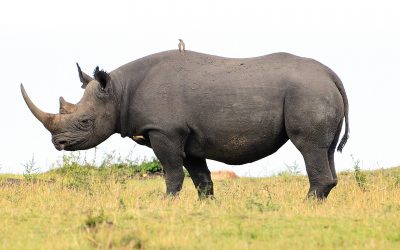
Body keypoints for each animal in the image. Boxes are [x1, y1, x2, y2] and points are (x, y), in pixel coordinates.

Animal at [20, 50, 348, 199]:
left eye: (85, 121)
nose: (58, 143)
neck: (119, 92)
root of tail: (332, 75)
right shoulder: (189, 138)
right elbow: (201, 178)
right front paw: (207, 207)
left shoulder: (164, 130)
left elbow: (172, 172)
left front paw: (165, 204)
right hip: (316, 91)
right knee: (326, 150)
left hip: (308, 92)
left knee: (308, 147)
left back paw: (303, 206)